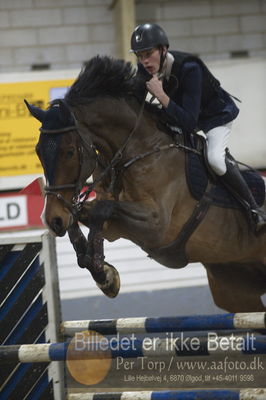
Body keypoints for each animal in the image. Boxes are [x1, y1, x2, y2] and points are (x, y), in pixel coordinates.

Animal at [25, 55, 266, 312]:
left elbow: (102, 210)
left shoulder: (156, 225)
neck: (137, 151)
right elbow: (81, 217)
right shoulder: (115, 227)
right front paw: (101, 271)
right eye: (38, 151)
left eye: (69, 152)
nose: (52, 220)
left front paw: (103, 273)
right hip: (233, 288)